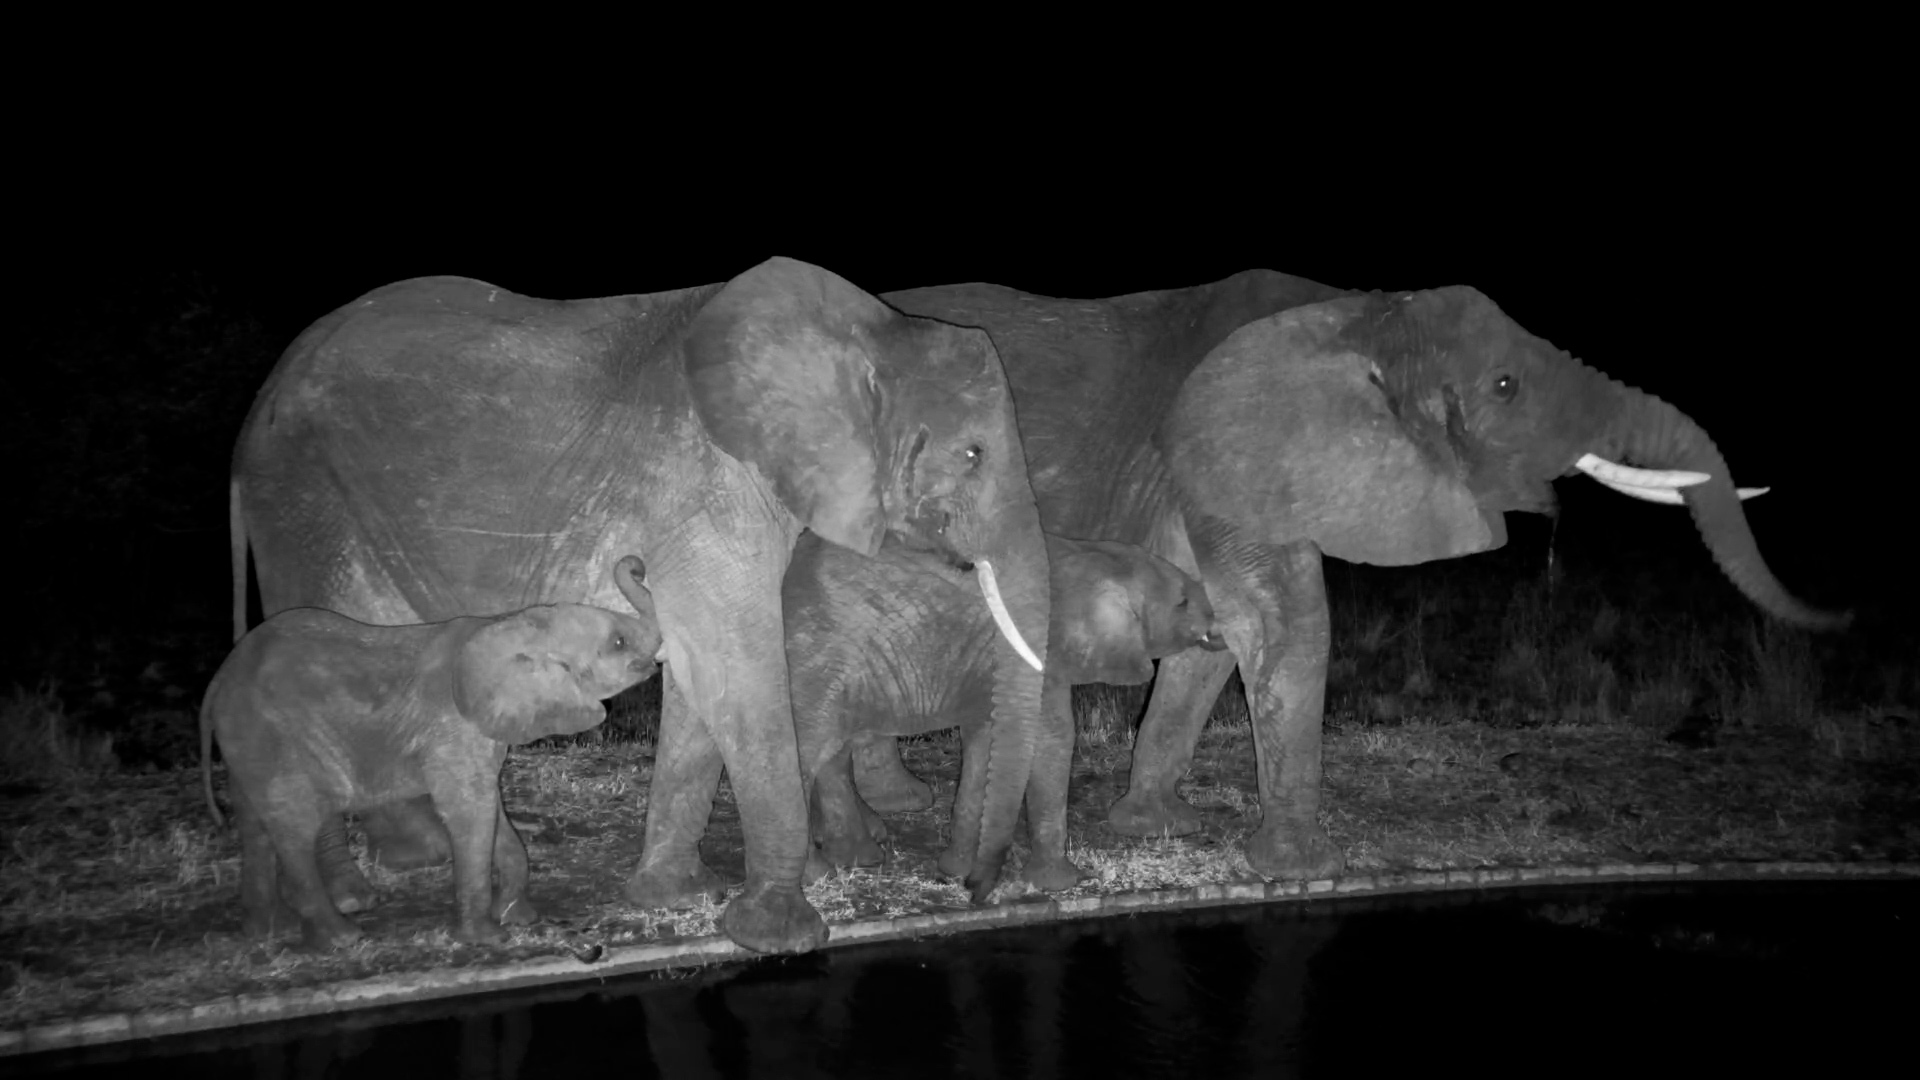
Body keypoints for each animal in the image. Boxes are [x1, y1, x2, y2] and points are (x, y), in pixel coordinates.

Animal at [199, 579, 662, 948]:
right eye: (618, 643)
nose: (635, 564)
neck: (512, 624)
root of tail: (218, 681)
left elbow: (492, 810)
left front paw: (518, 918)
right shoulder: (451, 729)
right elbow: (471, 811)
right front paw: (488, 938)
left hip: (248, 745)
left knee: (255, 826)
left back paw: (269, 932)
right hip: (273, 742)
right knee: (292, 830)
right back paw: (343, 940)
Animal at [785, 531, 1224, 891]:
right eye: (1182, 601)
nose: (1216, 623)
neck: (1086, 554)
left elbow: (987, 743)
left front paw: (960, 871)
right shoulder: (1037, 652)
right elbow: (1052, 741)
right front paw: (1061, 884)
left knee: (829, 754)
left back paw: (851, 860)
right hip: (819, 661)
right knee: (804, 756)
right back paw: (817, 878)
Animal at [867, 272, 1845, 883]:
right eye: (1503, 386)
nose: (1837, 618)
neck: (1358, 312)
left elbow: (1213, 632)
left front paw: (1158, 826)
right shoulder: (1237, 456)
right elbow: (1278, 619)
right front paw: (1302, 870)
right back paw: (888, 818)